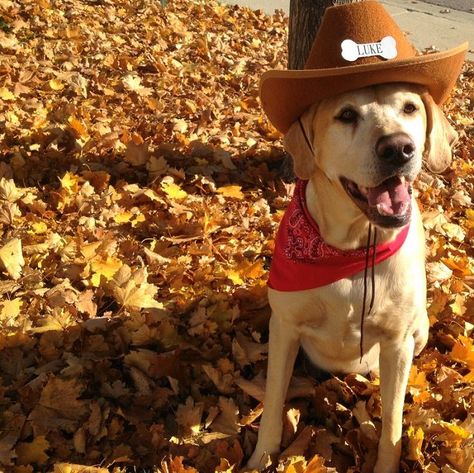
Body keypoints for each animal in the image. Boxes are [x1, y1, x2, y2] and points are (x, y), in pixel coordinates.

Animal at [250, 84, 458, 472]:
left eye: (410, 108)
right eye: (346, 115)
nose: (399, 147)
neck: (352, 250)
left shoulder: (398, 342)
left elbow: (392, 422)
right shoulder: (284, 326)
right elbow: (272, 400)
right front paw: (261, 457)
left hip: (420, 330)